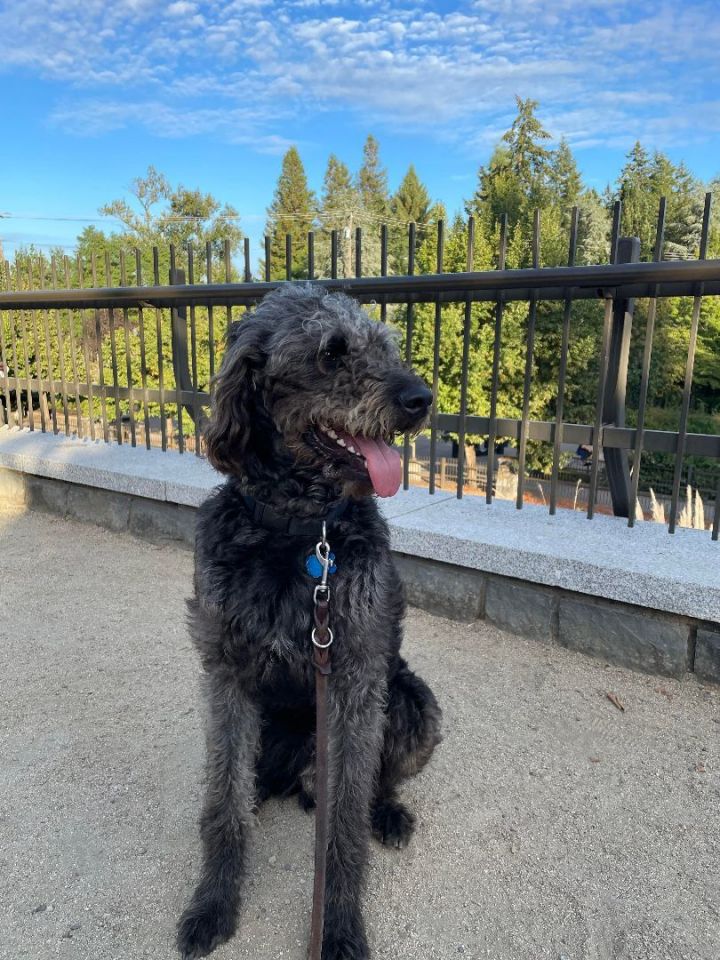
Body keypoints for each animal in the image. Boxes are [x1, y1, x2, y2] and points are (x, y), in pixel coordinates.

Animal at [177, 284, 442, 960]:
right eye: (331, 353)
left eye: (385, 346)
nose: (420, 399)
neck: (300, 531)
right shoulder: (226, 675)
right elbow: (223, 804)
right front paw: (214, 902)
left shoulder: (354, 682)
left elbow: (343, 826)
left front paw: (340, 927)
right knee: (251, 782)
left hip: (413, 705)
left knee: (373, 784)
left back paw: (387, 812)